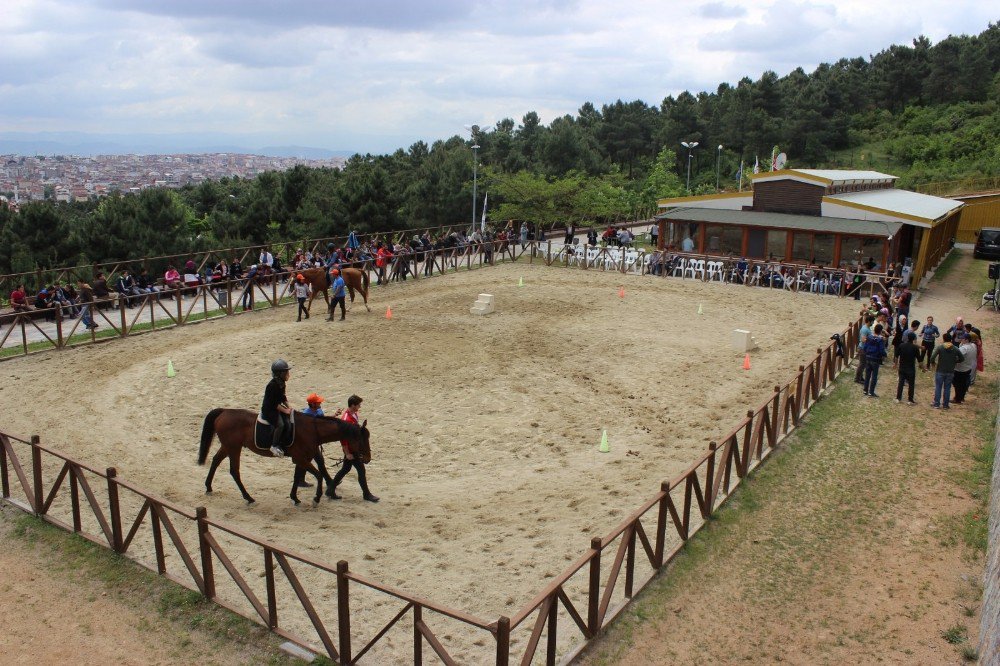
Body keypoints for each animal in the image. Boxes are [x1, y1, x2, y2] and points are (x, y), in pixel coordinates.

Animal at [195, 404, 372, 504]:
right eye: (362, 440)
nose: (368, 459)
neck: (312, 429)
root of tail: (224, 412)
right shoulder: (301, 458)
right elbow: (318, 474)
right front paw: (316, 497)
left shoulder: (301, 459)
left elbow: (298, 476)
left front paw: (295, 497)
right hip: (233, 448)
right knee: (234, 471)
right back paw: (248, 497)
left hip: (228, 446)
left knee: (216, 460)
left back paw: (209, 486)